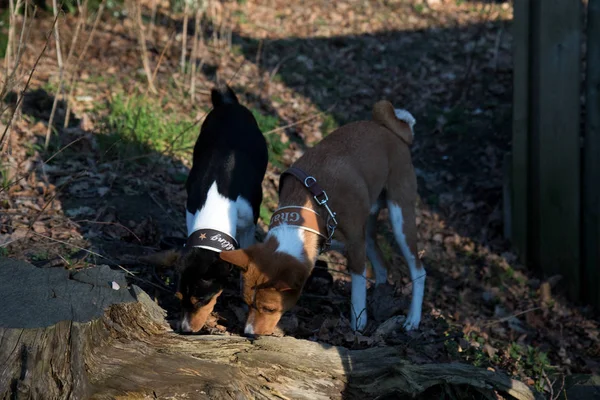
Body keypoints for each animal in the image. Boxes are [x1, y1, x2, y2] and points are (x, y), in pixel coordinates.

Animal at [142, 86, 266, 332]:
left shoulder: (249, 225)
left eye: (202, 299)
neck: (217, 203)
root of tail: (228, 103)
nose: (185, 330)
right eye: (179, 298)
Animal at [221, 100, 426, 334]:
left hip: (400, 217)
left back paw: (413, 318)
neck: (311, 206)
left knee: (419, 270)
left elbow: (358, 286)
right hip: (369, 227)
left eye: (269, 308)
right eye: (247, 303)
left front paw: (358, 320)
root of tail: (389, 130)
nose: (248, 333)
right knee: (383, 267)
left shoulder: (356, 245)